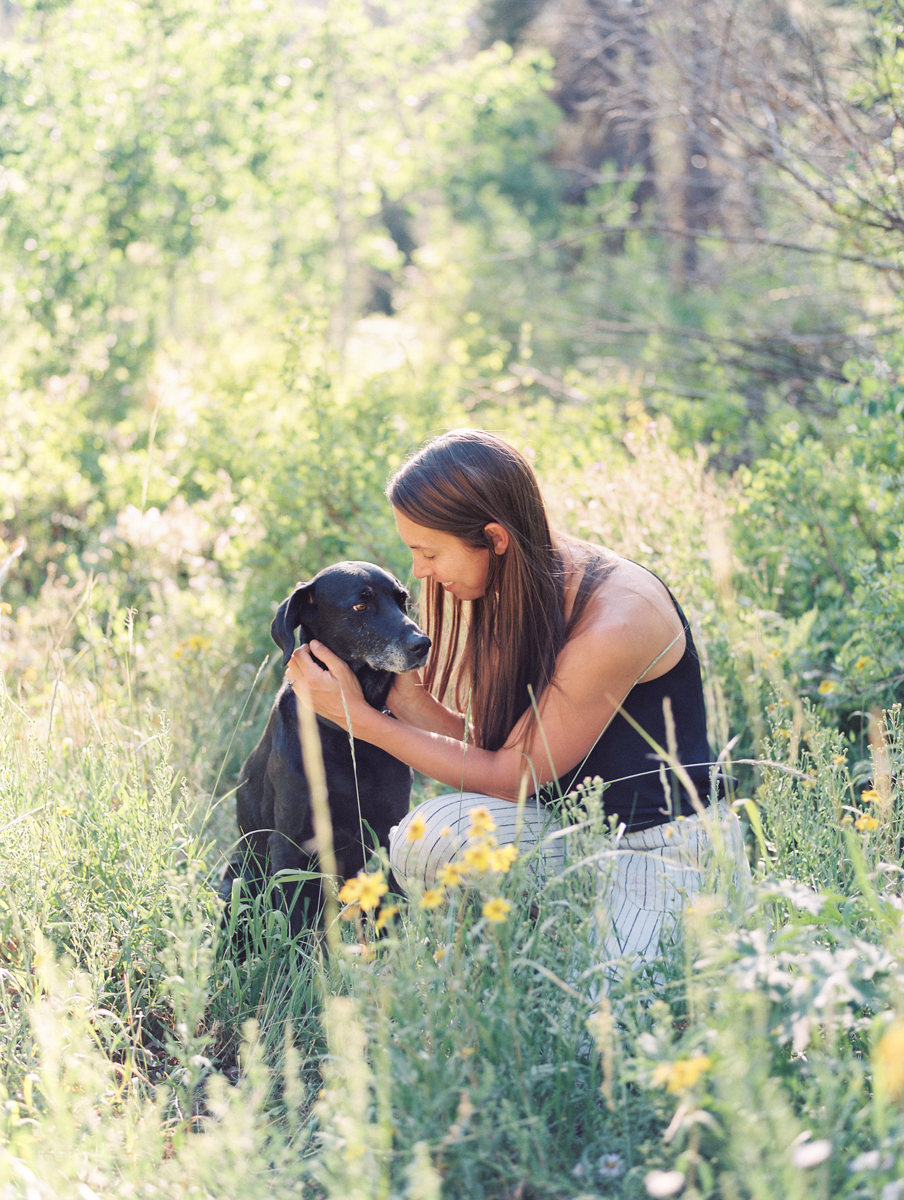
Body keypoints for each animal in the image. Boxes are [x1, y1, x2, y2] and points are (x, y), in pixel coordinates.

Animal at [220, 561, 427, 936]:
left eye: (402, 600)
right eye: (361, 605)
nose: (424, 644)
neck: (345, 738)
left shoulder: (388, 832)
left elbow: (388, 911)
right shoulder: (289, 846)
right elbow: (294, 928)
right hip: (237, 880)